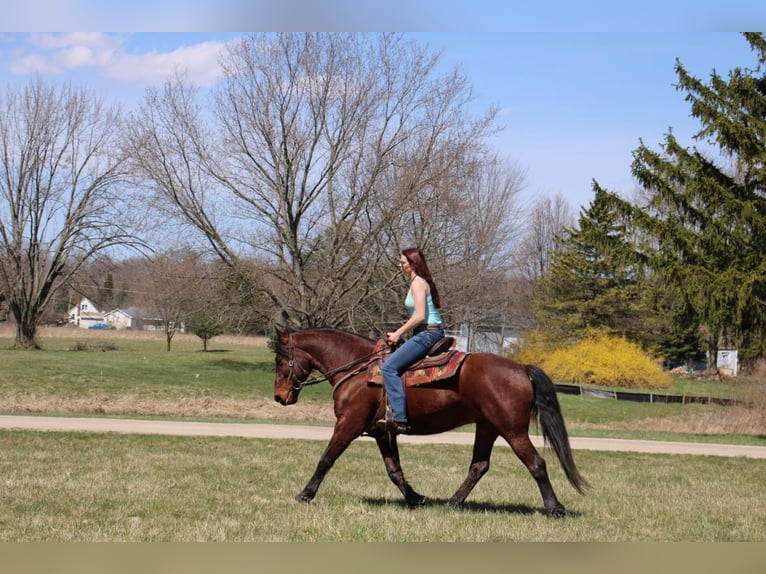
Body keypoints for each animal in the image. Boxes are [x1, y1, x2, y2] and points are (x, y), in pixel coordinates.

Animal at [274, 326, 588, 520]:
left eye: (279, 361)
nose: (279, 397)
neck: (357, 369)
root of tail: (521, 368)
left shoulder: (349, 425)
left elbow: (326, 459)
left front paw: (305, 494)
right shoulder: (381, 432)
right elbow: (394, 471)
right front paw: (416, 499)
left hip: (512, 430)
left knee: (536, 463)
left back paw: (555, 509)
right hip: (487, 427)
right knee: (479, 466)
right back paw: (451, 503)